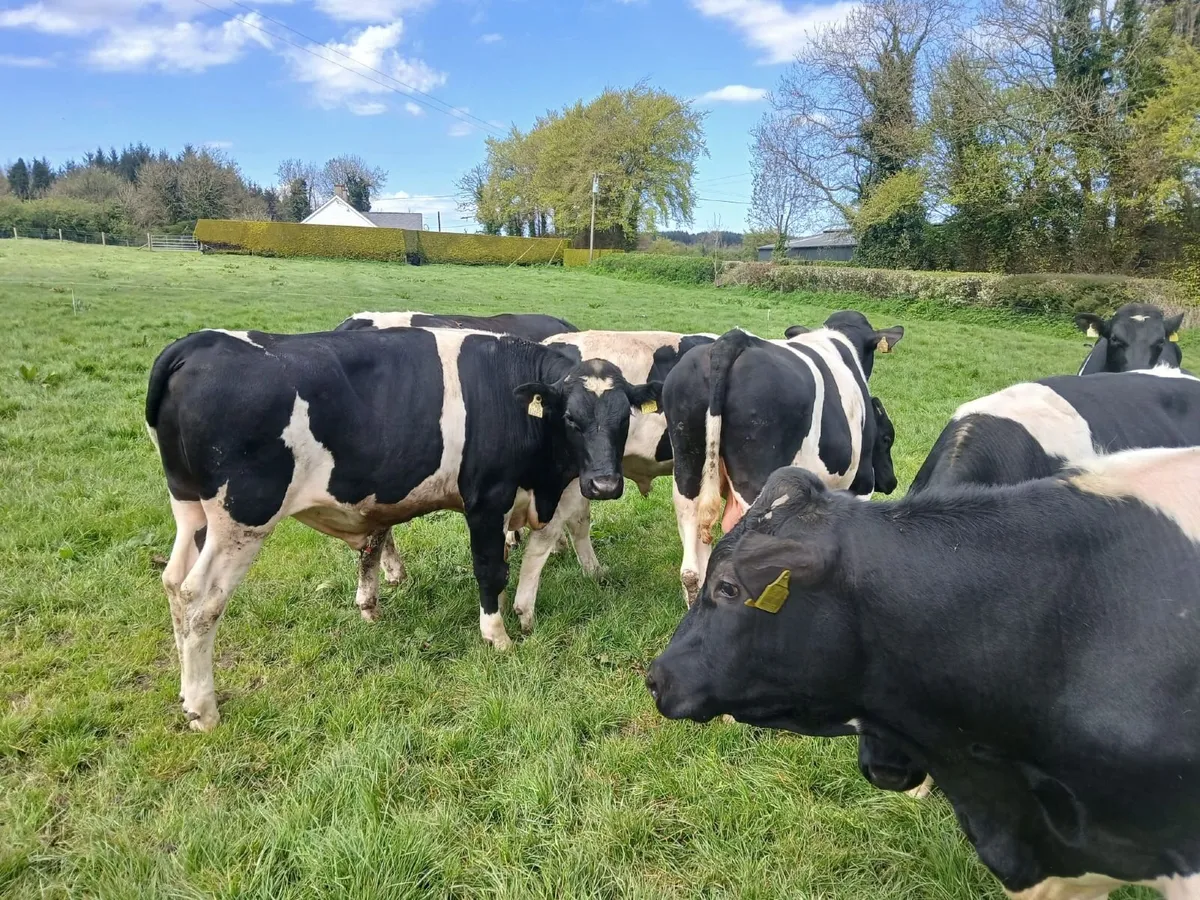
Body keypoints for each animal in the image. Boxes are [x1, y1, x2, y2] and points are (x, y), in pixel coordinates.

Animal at [146, 326, 661, 731]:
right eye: (571, 417)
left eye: (624, 419)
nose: (605, 483)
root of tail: (200, 342)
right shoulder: (487, 498)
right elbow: (491, 569)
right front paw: (497, 636)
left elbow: (533, 553)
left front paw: (524, 614)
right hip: (243, 517)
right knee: (200, 599)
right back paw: (203, 708)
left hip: (190, 508)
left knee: (173, 582)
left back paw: (185, 689)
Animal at [662, 311, 904, 605]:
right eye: (887, 438)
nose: (891, 482)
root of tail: (731, 340)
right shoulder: (861, 482)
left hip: (687, 463)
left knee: (693, 561)